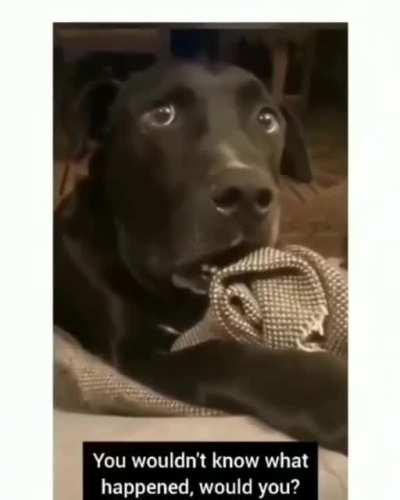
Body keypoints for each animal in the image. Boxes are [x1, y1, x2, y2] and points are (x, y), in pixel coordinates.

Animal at [54, 60, 347, 454]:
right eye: (161, 115)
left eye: (267, 119)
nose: (247, 194)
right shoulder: (141, 353)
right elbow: (223, 354)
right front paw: (330, 391)